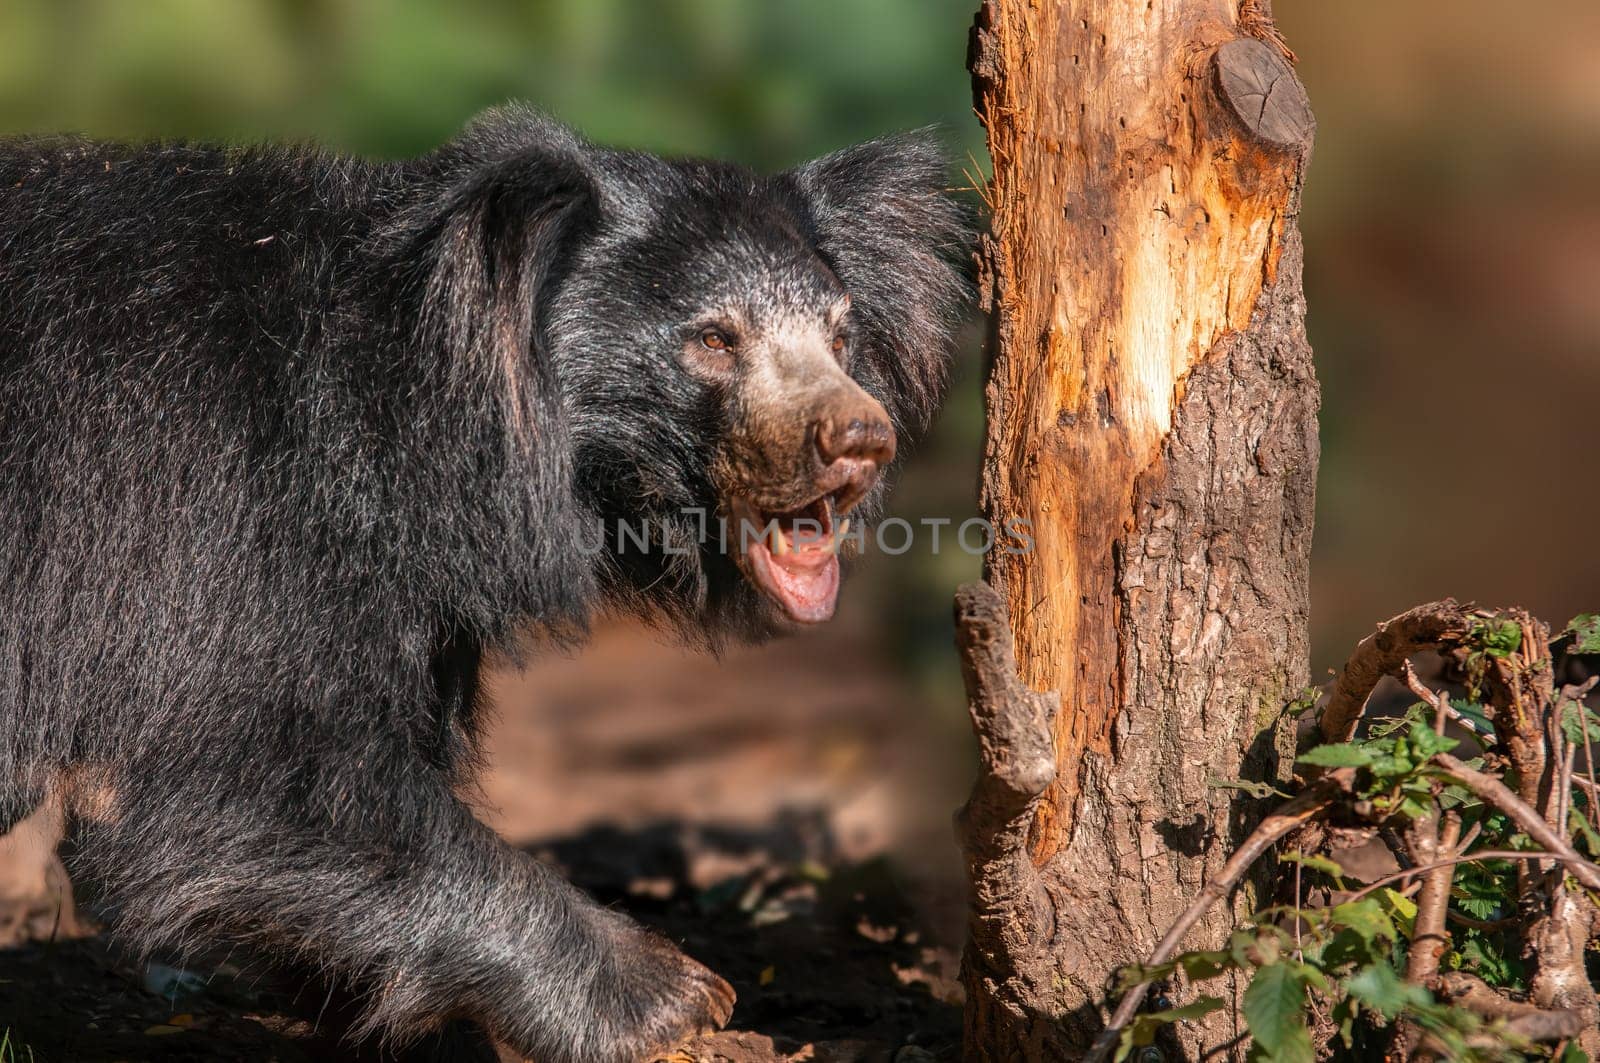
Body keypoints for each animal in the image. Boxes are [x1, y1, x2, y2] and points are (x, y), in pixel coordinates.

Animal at [0, 104, 966, 1056]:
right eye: (714, 338)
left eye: (840, 336)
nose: (859, 439)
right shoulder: (220, 513)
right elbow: (236, 778)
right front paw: (675, 999)